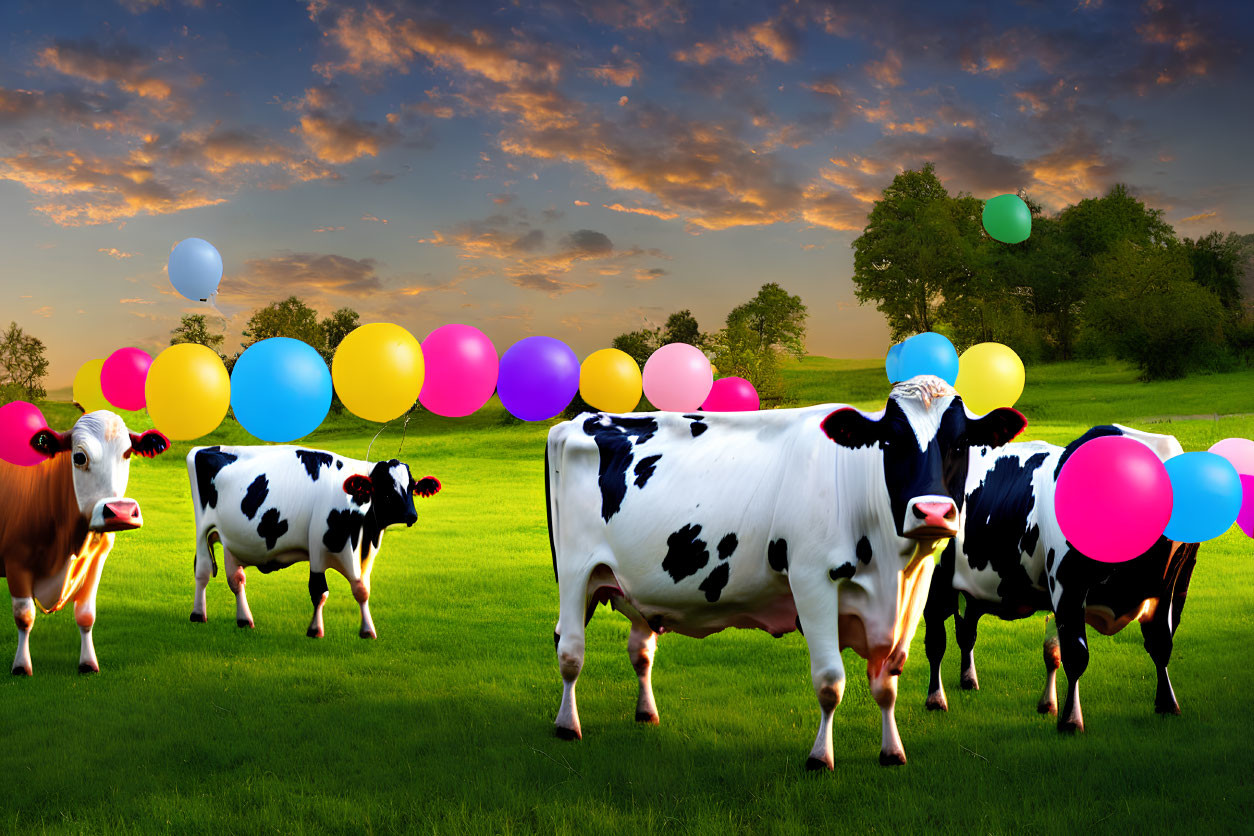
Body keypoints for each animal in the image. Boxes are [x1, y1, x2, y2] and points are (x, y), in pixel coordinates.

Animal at [0, 408, 169, 676]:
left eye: (128, 453)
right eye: (79, 457)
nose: (122, 512)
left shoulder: (96, 559)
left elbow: (86, 615)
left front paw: (88, 663)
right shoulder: (16, 560)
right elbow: (24, 616)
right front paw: (21, 666)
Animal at [183, 448, 441, 636]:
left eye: (412, 486)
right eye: (386, 488)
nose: (411, 515)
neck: (363, 534)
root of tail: (203, 449)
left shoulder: (364, 553)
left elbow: (362, 590)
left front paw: (368, 631)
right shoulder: (317, 545)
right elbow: (319, 591)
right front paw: (315, 630)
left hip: (231, 542)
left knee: (236, 579)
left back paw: (244, 620)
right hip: (203, 530)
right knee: (202, 572)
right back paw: (197, 615)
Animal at [549, 378, 1028, 772]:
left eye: (962, 441)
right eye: (891, 441)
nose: (932, 511)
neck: (893, 572)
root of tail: (579, 421)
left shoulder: (911, 596)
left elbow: (887, 683)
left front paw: (892, 751)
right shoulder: (812, 580)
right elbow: (830, 681)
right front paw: (820, 757)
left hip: (632, 585)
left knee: (641, 649)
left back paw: (646, 713)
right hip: (576, 572)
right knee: (570, 649)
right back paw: (567, 725)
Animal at [917, 426, 1198, 731]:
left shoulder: (1167, 586)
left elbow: (1161, 644)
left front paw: (1168, 704)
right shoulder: (1067, 585)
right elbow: (1075, 654)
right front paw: (1070, 719)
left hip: (972, 587)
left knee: (966, 631)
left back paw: (968, 680)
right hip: (936, 580)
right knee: (935, 639)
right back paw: (935, 699)